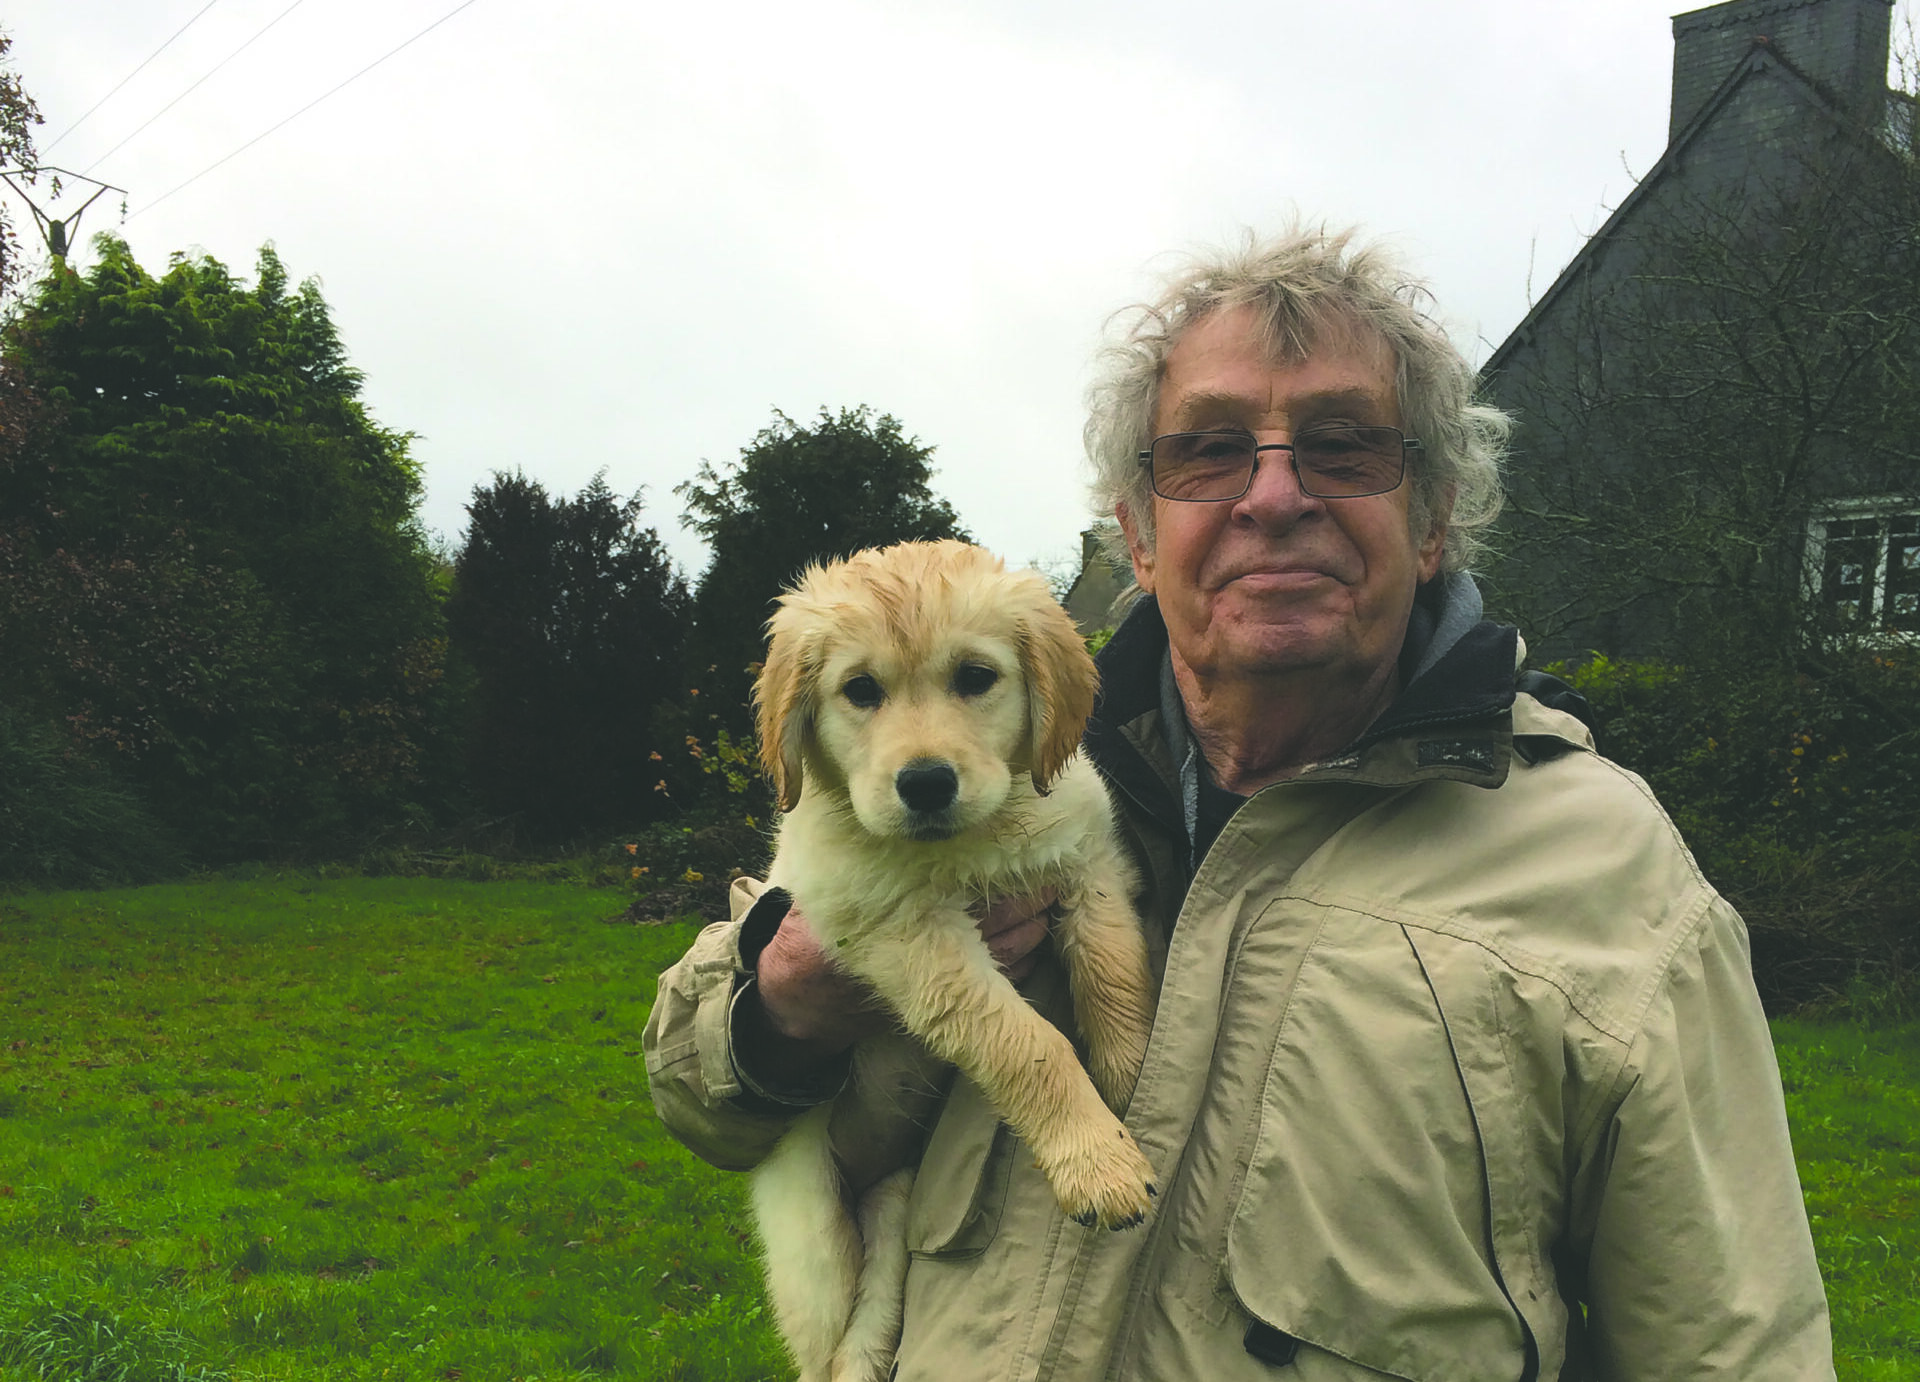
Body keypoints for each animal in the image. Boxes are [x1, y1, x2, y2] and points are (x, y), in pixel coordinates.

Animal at [748, 541, 1152, 1382]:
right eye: (860, 691)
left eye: (974, 677)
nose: (926, 783)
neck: (974, 843)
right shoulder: (908, 937)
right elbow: (1027, 1042)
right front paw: (1095, 1161)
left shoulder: (1089, 864)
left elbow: (1115, 975)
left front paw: (1130, 1080)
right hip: (813, 1246)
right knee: (825, 1349)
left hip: (894, 1210)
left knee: (869, 1331)